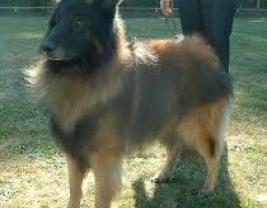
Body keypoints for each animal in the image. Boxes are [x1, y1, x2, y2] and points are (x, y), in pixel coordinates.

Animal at [26, 0, 233, 207]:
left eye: (78, 21)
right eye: (56, 21)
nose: (45, 47)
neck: (82, 74)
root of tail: (206, 51)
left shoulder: (104, 157)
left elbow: (100, 197)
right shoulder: (74, 150)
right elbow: (74, 192)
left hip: (197, 128)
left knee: (214, 157)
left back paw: (208, 187)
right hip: (165, 120)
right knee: (175, 148)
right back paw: (164, 175)